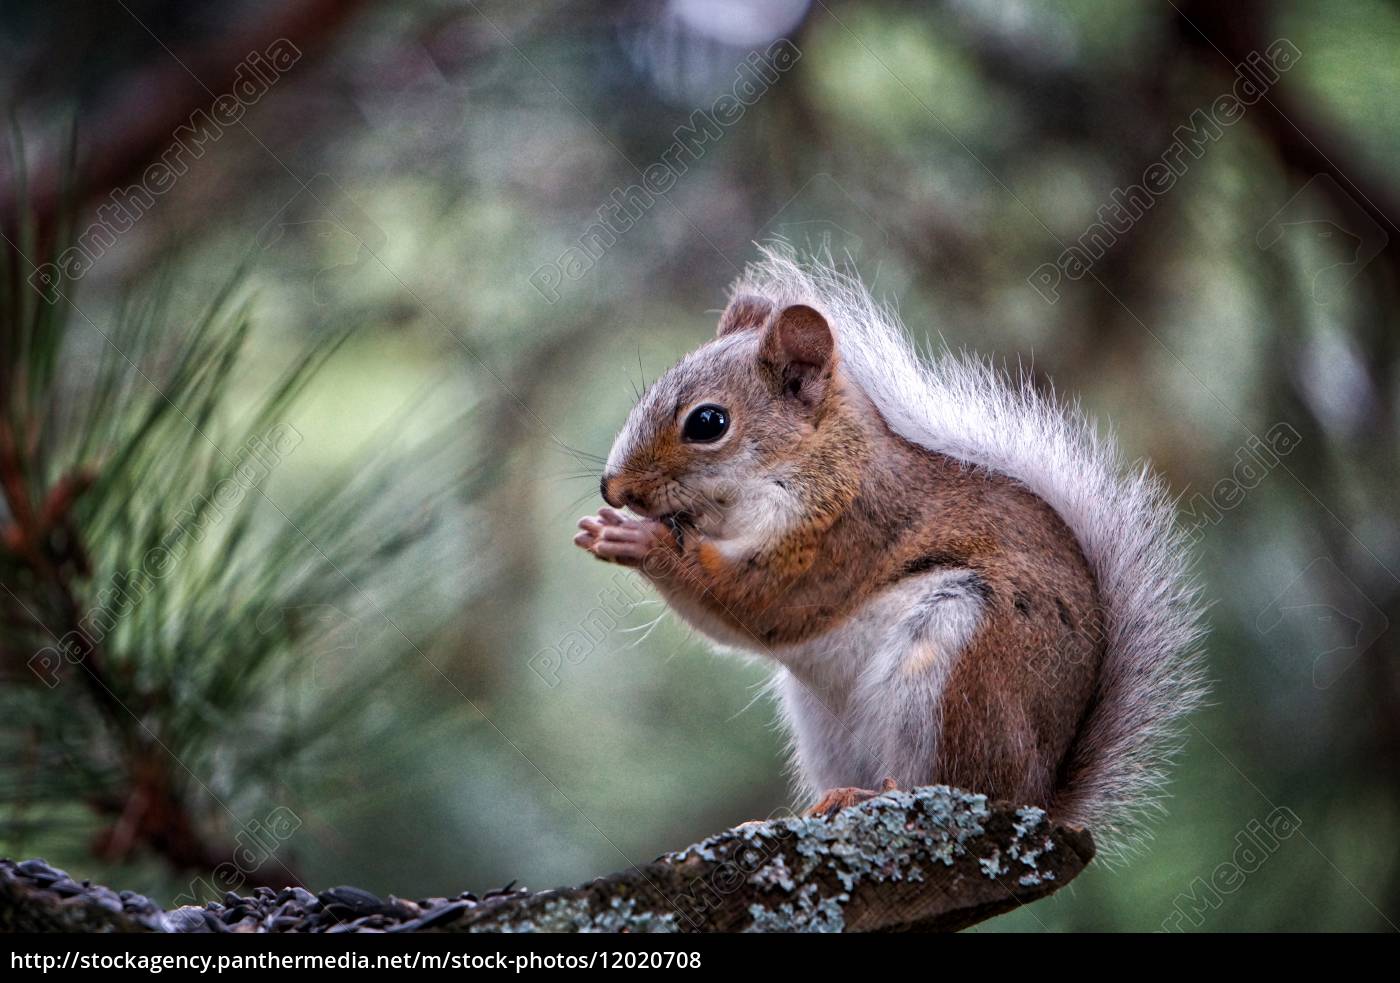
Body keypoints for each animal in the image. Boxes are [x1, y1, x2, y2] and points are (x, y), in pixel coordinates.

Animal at [574, 247, 1209, 856]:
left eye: (708, 422)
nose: (613, 488)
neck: (811, 464)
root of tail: (1038, 800)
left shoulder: (839, 537)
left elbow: (758, 603)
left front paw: (639, 541)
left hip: (956, 666)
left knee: (954, 784)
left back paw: (878, 795)